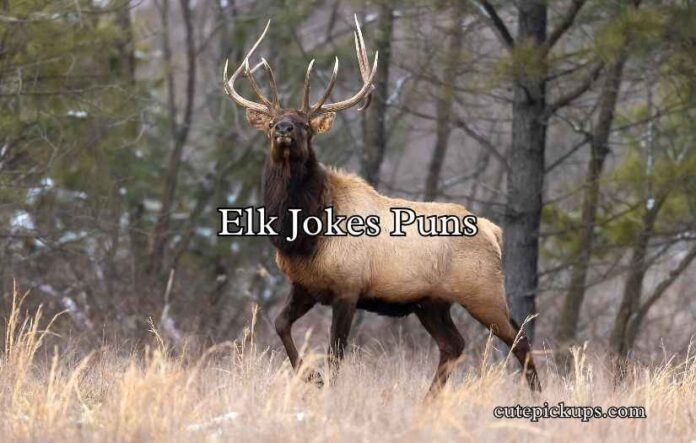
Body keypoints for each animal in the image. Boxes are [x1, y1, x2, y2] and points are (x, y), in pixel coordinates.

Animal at [222, 16, 542, 395]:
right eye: (272, 122)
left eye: (305, 125)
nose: (283, 128)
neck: (303, 236)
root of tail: (494, 231)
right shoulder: (305, 286)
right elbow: (279, 324)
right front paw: (312, 378)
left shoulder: (348, 287)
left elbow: (336, 354)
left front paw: (326, 384)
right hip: (431, 303)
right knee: (454, 345)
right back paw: (428, 400)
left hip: (484, 290)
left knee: (519, 339)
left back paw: (538, 396)